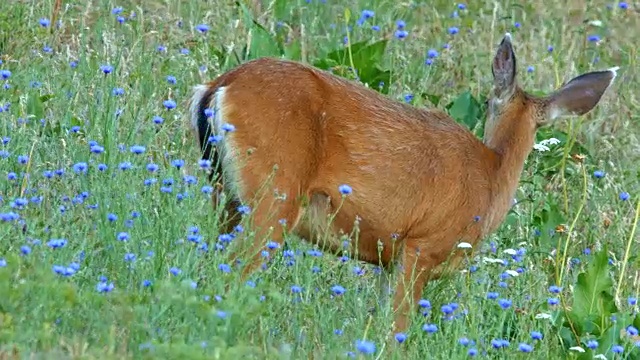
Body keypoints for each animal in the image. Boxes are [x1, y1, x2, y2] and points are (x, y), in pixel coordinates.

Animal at [188, 33, 616, 334]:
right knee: (235, 271)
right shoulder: (421, 246)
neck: (491, 176)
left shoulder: (387, 258)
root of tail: (218, 85)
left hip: (225, 191)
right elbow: (398, 329)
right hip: (274, 193)